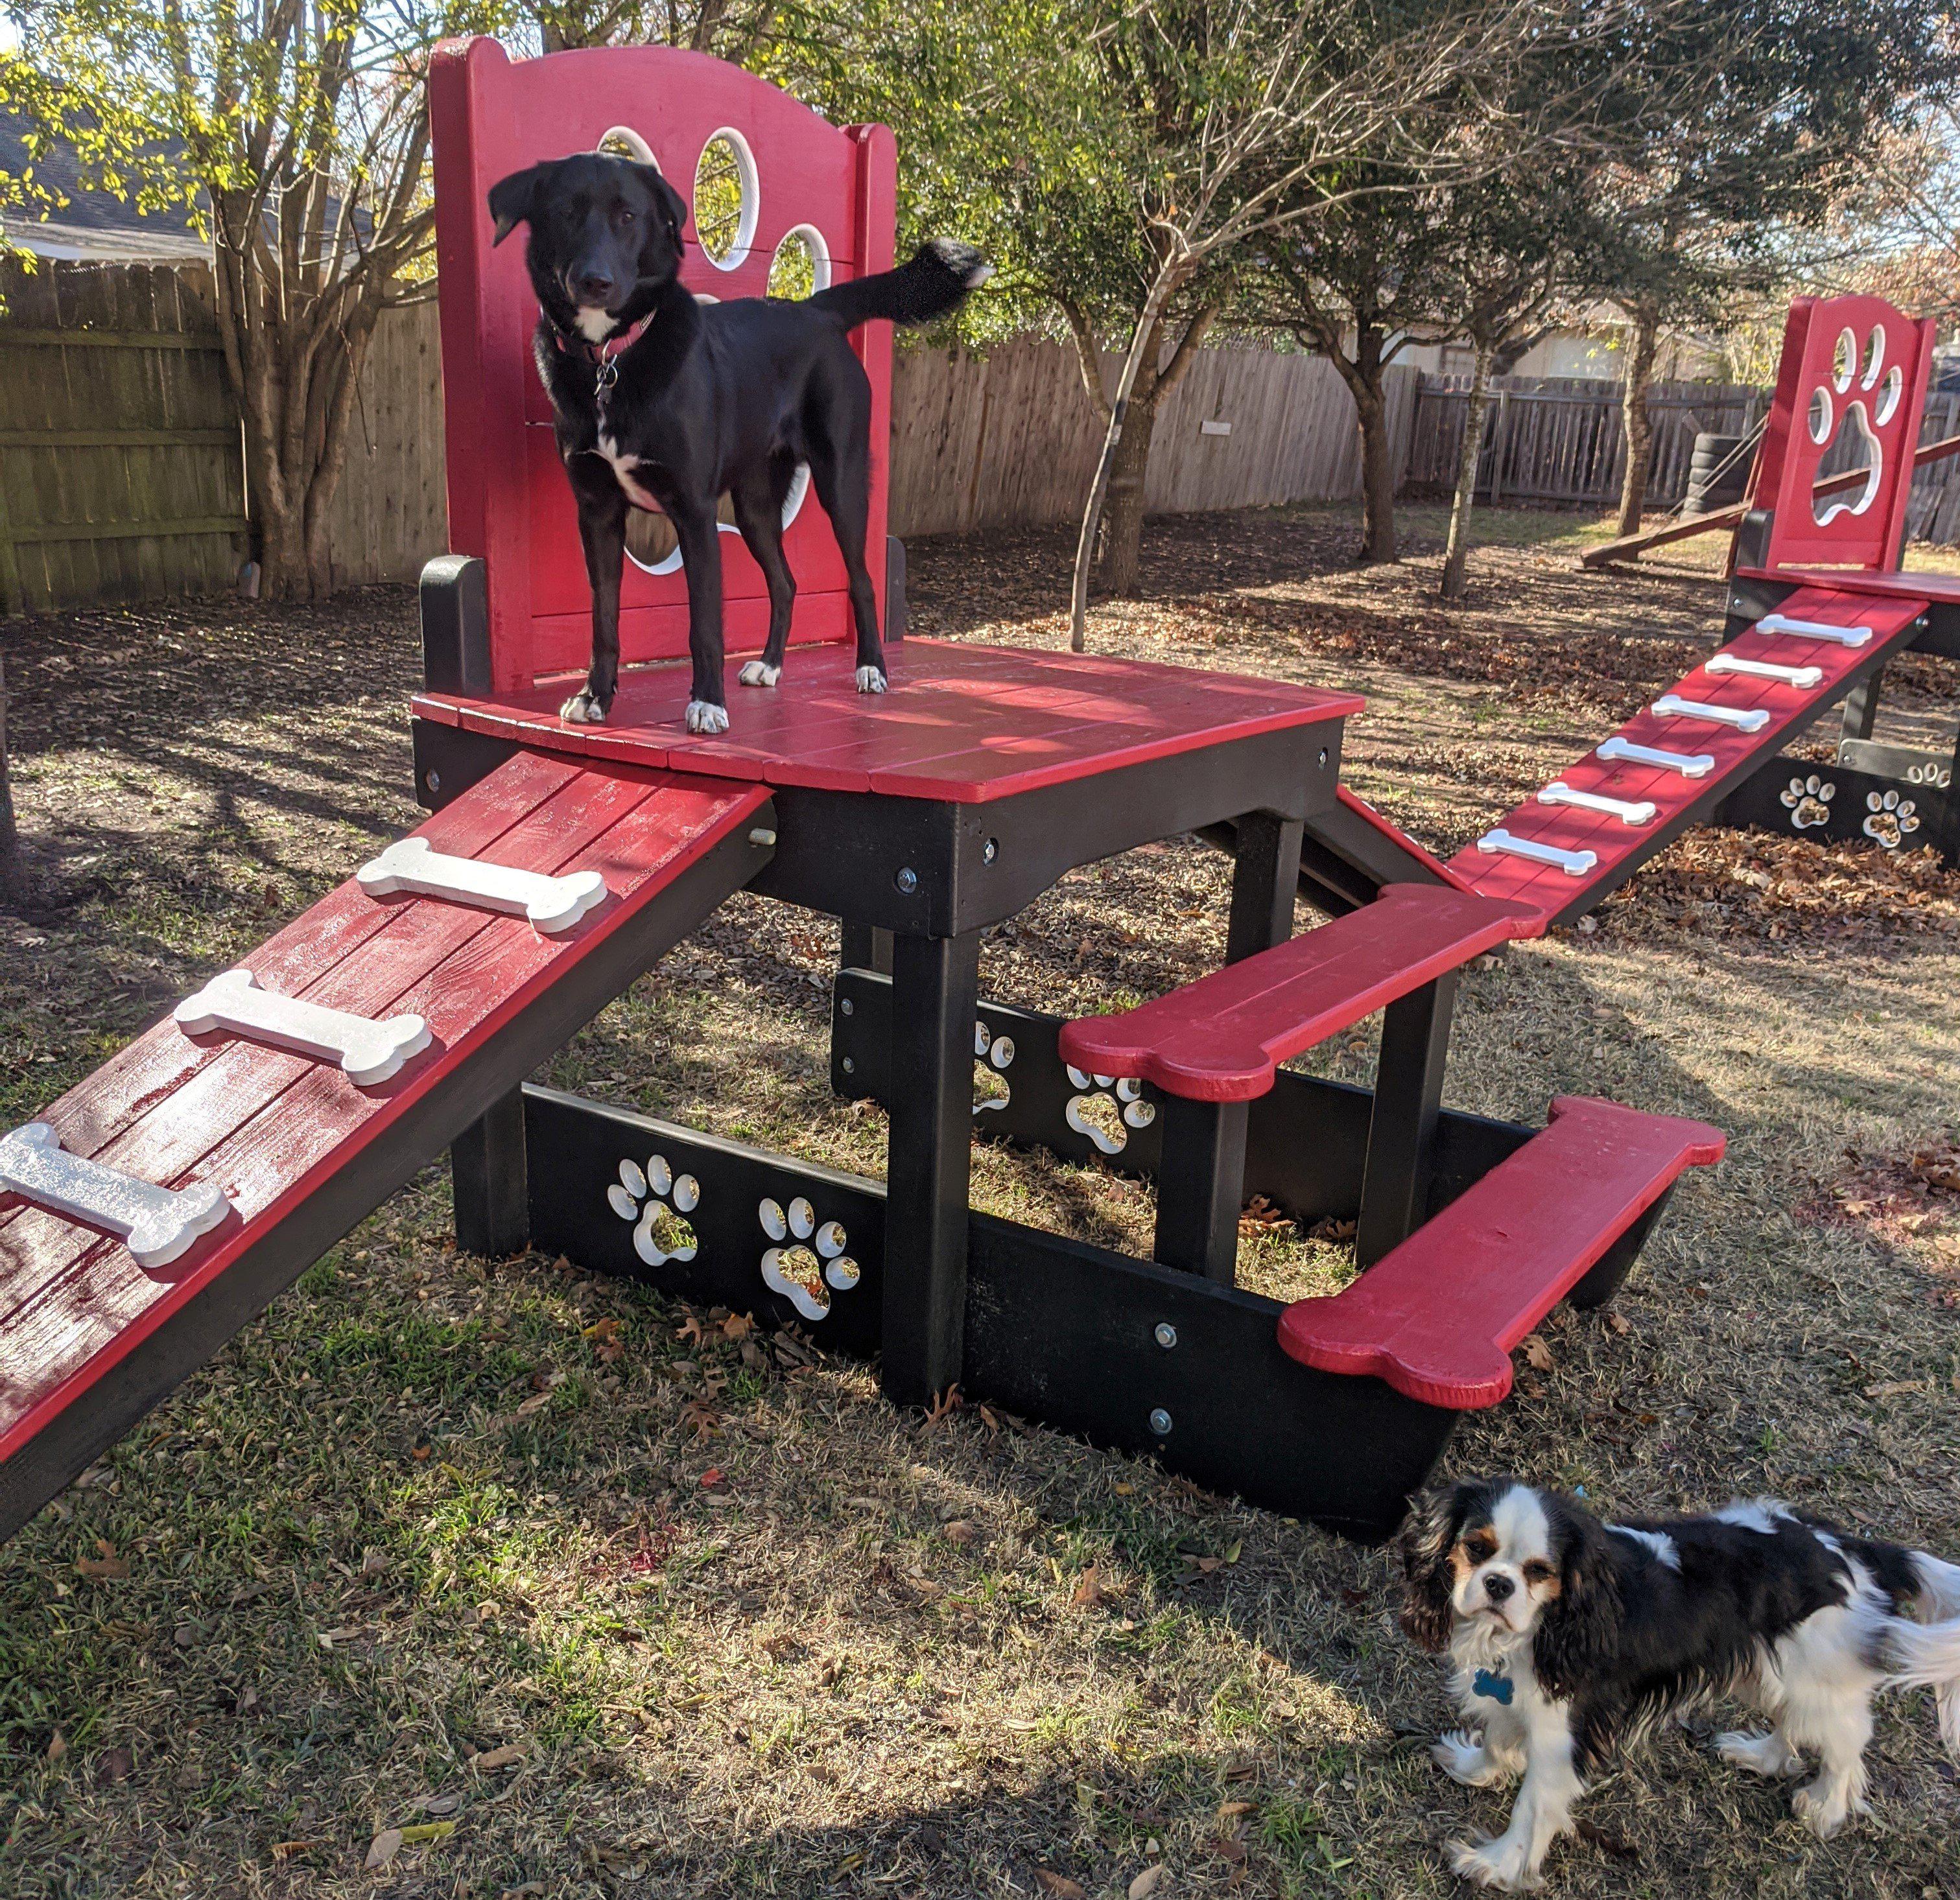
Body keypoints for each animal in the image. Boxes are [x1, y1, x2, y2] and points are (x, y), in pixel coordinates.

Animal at [484, 156, 987, 729]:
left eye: (627, 215)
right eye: (565, 213)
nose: (595, 281)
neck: (611, 360)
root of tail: (816, 310)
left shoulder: (693, 511)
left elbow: (704, 622)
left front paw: (706, 702)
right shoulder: (598, 513)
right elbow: (603, 618)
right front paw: (595, 695)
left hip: (840, 484)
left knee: (861, 579)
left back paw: (871, 669)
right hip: (755, 505)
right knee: (785, 582)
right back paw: (770, 665)